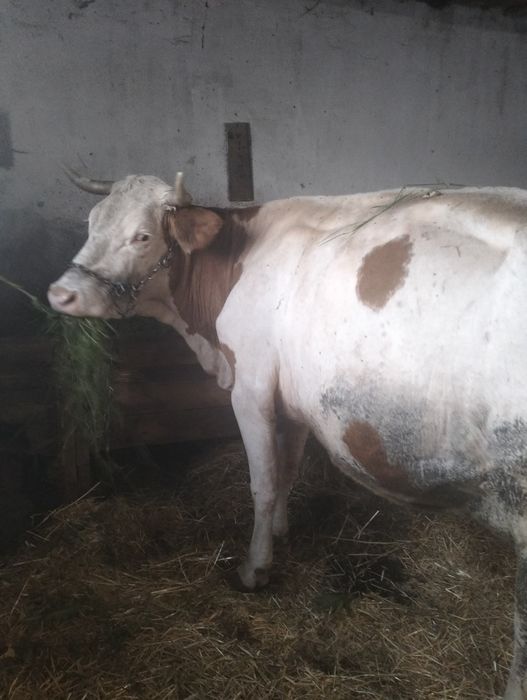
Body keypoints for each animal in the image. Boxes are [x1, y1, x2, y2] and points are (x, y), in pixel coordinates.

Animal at [48, 167, 527, 699]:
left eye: (143, 236)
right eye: (92, 223)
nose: (61, 294)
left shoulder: (251, 386)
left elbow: (262, 480)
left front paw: (255, 566)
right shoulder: (293, 399)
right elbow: (287, 471)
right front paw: (280, 529)